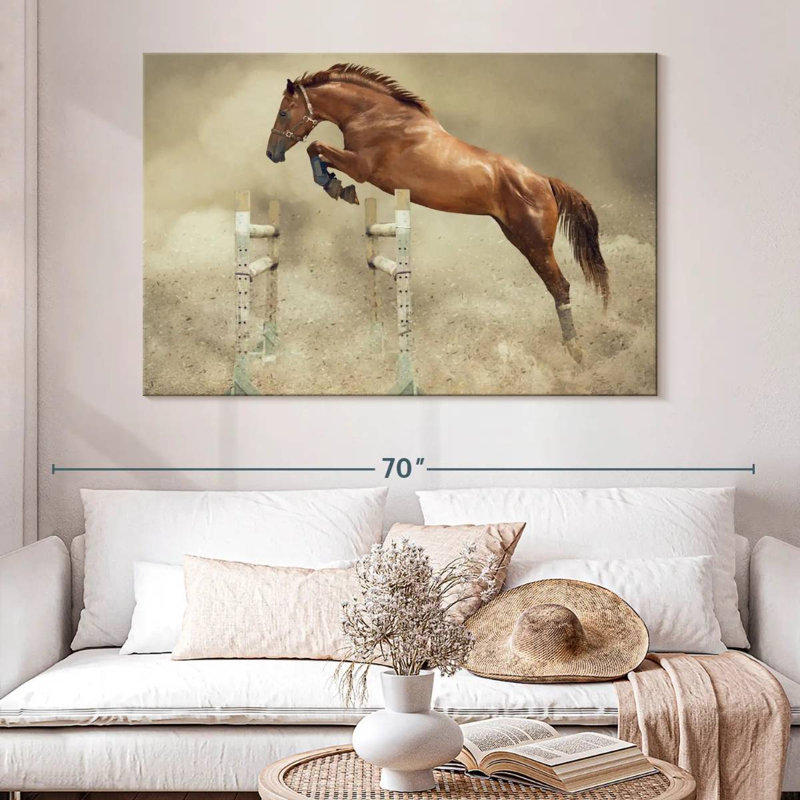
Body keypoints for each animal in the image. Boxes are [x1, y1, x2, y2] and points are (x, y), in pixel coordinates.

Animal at [266, 63, 609, 362]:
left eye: (283, 112)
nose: (272, 153)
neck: (374, 115)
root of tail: (544, 181)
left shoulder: (361, 166)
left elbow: (316, 148)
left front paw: (336, 187)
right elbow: (319, 153)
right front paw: (336, 185)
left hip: (536, 243)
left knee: (560, 287)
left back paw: (575, 351)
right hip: (519, 239)